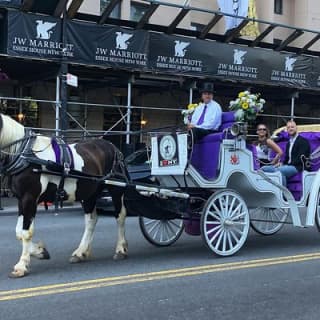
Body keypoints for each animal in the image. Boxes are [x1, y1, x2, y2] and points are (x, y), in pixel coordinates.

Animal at [0, 114, 129, 278]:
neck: (24, 152)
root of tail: (114, 148)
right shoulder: (21, 199)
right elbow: (18, 232)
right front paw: (40, 251)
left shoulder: (30, 198)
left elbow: (26, 232)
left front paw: (22, 265)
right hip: (89, 193)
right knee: (91, 220)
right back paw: (80, 252)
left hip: (116, 189)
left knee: (120, 216)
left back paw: (121, 249)